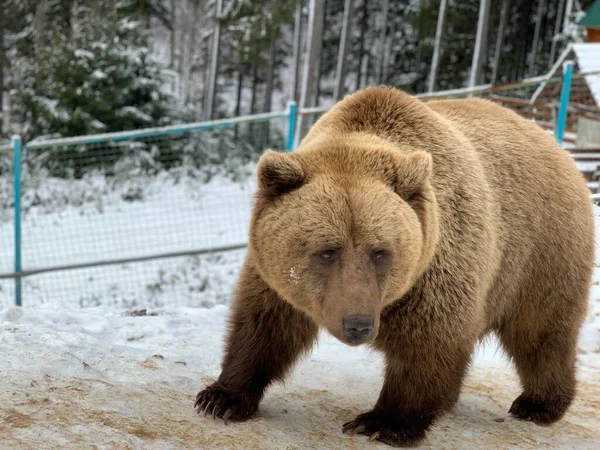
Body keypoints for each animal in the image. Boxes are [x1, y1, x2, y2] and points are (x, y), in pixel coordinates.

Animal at [193, 85, 596, 446]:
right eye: (327, 251)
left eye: (380, 251)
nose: (357, 324)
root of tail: (562, 151)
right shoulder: (278, 277)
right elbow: (264, 324)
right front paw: (222, 397)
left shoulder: (434, 266)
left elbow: (427, 343)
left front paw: (383, 422)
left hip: (540, 252)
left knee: (540, 332)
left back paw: (538, 404)